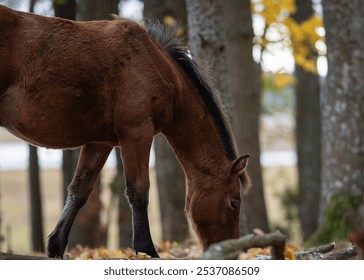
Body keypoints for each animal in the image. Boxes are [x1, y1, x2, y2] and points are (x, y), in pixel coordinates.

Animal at [0, 4, 250, 258]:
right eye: (234, 203)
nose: (233, 252)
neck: (155, 63)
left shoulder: (100, 143)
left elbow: (79, 190)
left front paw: (56, 246)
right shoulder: (137, 133)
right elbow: (139, 191)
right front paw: (146, 250)